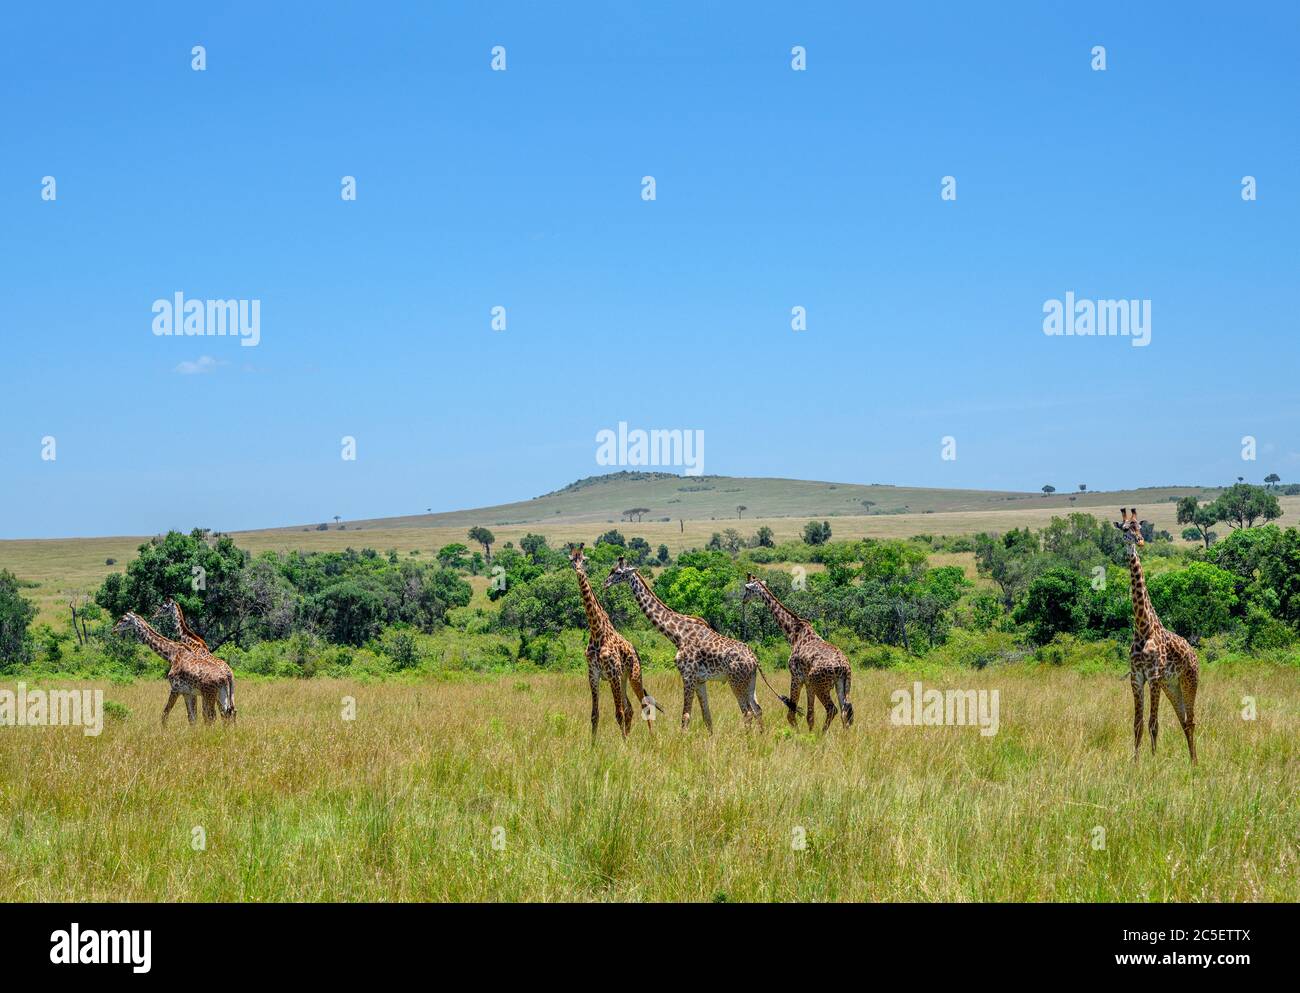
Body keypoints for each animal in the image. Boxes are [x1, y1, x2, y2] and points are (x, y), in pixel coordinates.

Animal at [566, 543, 660, 738]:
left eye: (583, 559)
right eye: (571, 559)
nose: (578, 570)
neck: (597, 631)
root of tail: (635, 651)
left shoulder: (612, 673)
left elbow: (619, 713)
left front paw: (623, 743)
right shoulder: (594, 674)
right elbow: (595, 714)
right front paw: (593, 744)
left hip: (633, 675)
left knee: (644, 706)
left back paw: (652, 738)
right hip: (622, 679)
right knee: (630, 708)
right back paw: (630, 737)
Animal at [600, 558, 790, 727]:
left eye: (618, 572)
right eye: (611, 570)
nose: (605, 583)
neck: (677, 634)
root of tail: (755, 660)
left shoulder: (688, 675)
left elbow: (685, 716)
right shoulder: (700, 680)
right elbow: (707, 717)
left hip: (736, 680)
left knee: (747, 712)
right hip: (750, 681)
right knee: (757, 709)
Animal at [743, 574, 852, 727]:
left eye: (747, 589)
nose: (743, 600)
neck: (792, 632)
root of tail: (844, 666)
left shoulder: (796, 676)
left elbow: (791, 714)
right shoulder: (807, 682)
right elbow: (810, 716)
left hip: (820, 684)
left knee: (832, 709)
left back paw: (823, 733)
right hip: (842, 683)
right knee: (845, 712)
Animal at [1118, 506, 1196, 764]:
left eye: (1139, 527)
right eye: (1125, 529)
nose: (1140, 541)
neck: (1143, 627)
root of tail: (1194, 654)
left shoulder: (1153, 676)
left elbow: (1154, 723)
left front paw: (1152, 760)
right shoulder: (1136, 677)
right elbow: (1137, 724)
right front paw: (1135, 762)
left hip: (1189, 681)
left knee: (1192, 721)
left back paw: (1196, 762)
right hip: (1172, 687)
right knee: (1184, 721)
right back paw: (1192, 761)